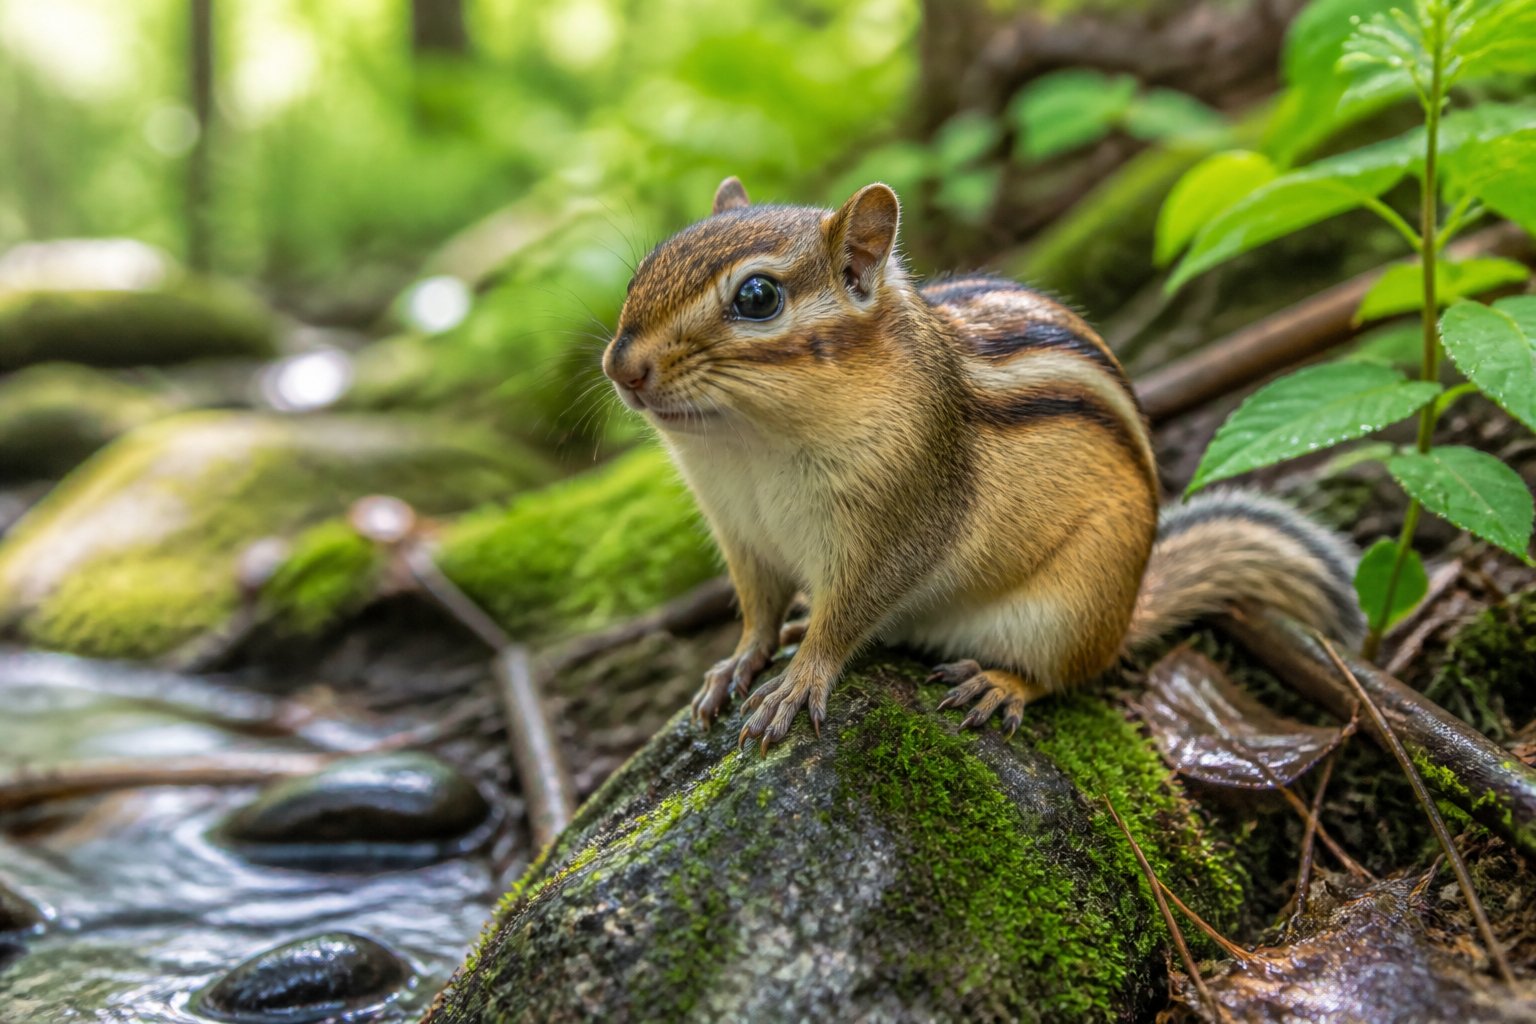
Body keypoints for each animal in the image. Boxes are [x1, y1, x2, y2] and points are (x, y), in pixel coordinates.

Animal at [602, 177, 1365, 751]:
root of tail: (1126, 614)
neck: (747, 448)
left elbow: (848, 615)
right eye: (642, 273)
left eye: (757, 297)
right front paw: (739, 660)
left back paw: (1001, 685)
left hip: (1071, 609)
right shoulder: (741, 533)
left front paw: (799, 680)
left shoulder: (899, 523)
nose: (621, 367)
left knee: (1065, 675)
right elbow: (756, 610)